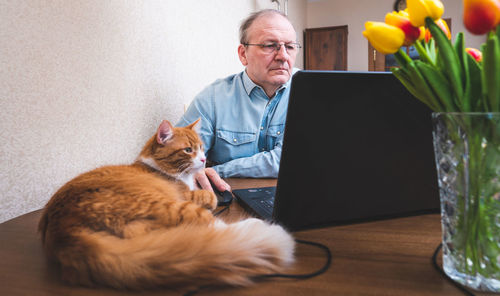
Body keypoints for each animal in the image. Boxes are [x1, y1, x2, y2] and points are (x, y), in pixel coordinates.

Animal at [40, 118, 296, 290]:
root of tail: (65, 232)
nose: (204, 159)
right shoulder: (185, 196)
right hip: (166, 205)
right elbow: (210, 197)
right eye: (188, 150)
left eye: (202, 147)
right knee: (210, 225)